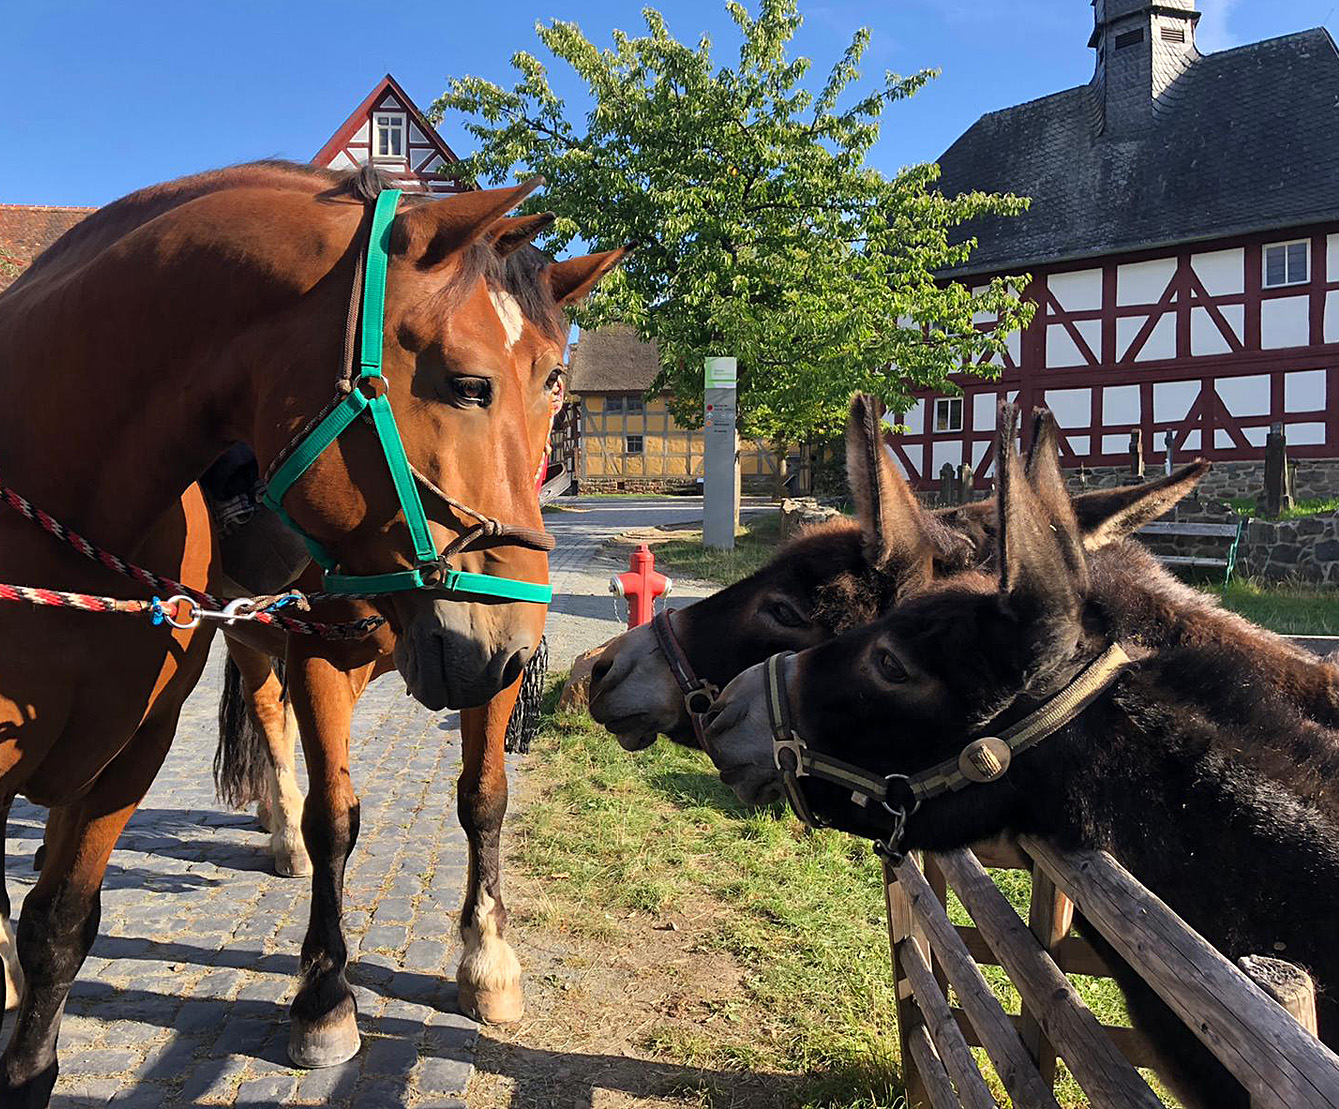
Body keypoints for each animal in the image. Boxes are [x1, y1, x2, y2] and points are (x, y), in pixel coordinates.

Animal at [0, 160, 618, 1103]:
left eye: (554, 381)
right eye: (467, 383)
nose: (511, 621)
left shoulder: (490, 669)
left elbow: (483, 798)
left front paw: (487, 958)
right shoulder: (322, 656)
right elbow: (336, 818)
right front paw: (325, 997)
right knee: (267, 721)